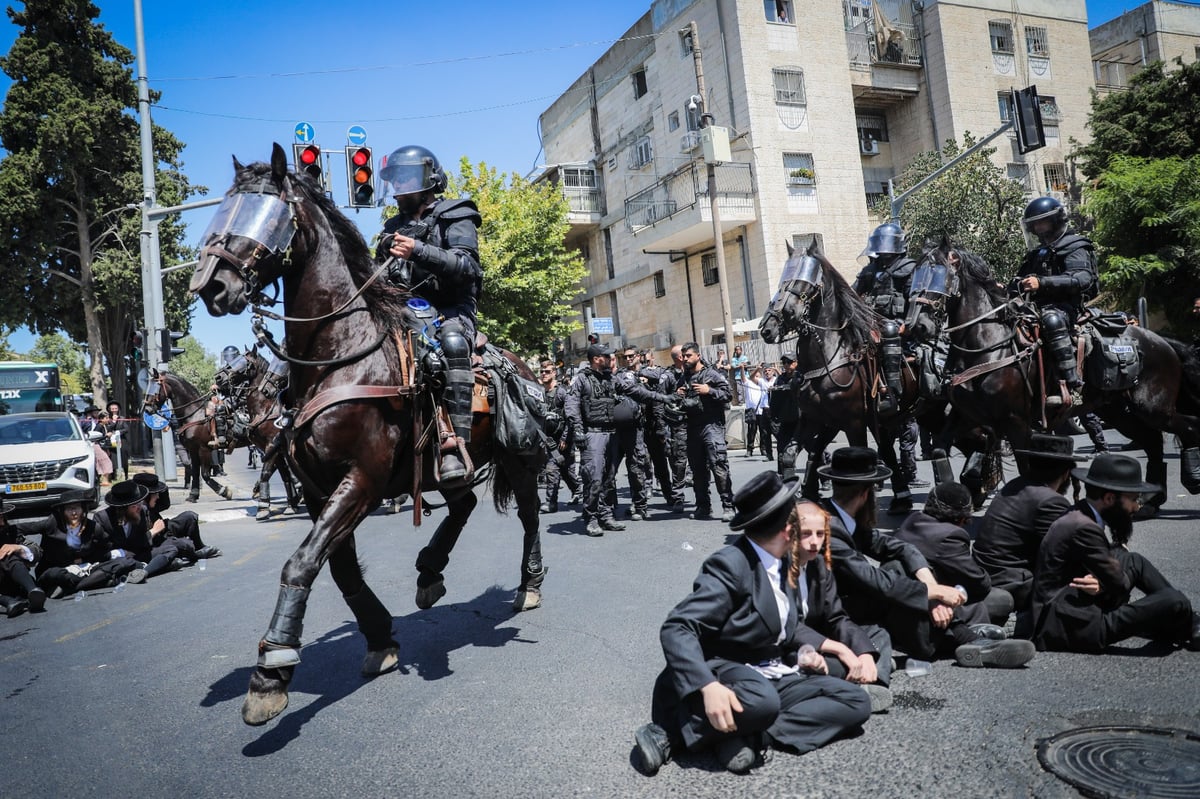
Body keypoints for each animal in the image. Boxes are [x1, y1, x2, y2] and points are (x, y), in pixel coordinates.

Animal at [189, 141, 547, 719]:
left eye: (268, 213)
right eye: (226, 209)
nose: (210, 286)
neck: (340, 356)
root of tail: (523, 365)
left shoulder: (363, 478)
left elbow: (301, 562)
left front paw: (272, 669)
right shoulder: (319, 488)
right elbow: (339, 569)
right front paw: (379, 637)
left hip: (517, 459)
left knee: (531, 515)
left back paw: (529, 583)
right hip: (442, 465)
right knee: (464, 502)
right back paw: (429, 571)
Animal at [758, 239, 926, 506]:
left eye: (804, 282)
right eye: (783, 280)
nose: (769, 327)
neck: (828, 357)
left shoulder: (853, 422)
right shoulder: (817, 419)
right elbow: (792, 453)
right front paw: (802, 492)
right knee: (887, 450)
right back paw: (901, 497)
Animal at [907, 241, 1200, 515]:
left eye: (939, 274)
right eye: (915, 276)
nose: (916, 326)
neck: (987, 344)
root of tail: (1163, 341)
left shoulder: (1016, 422)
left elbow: (1026, 469)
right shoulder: (967, 416)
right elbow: (940, 450)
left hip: (1153, 408)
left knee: (1186, 428)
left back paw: (1190, 479)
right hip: (1119, 411)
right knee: (1153, 442)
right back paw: (1152, 500)